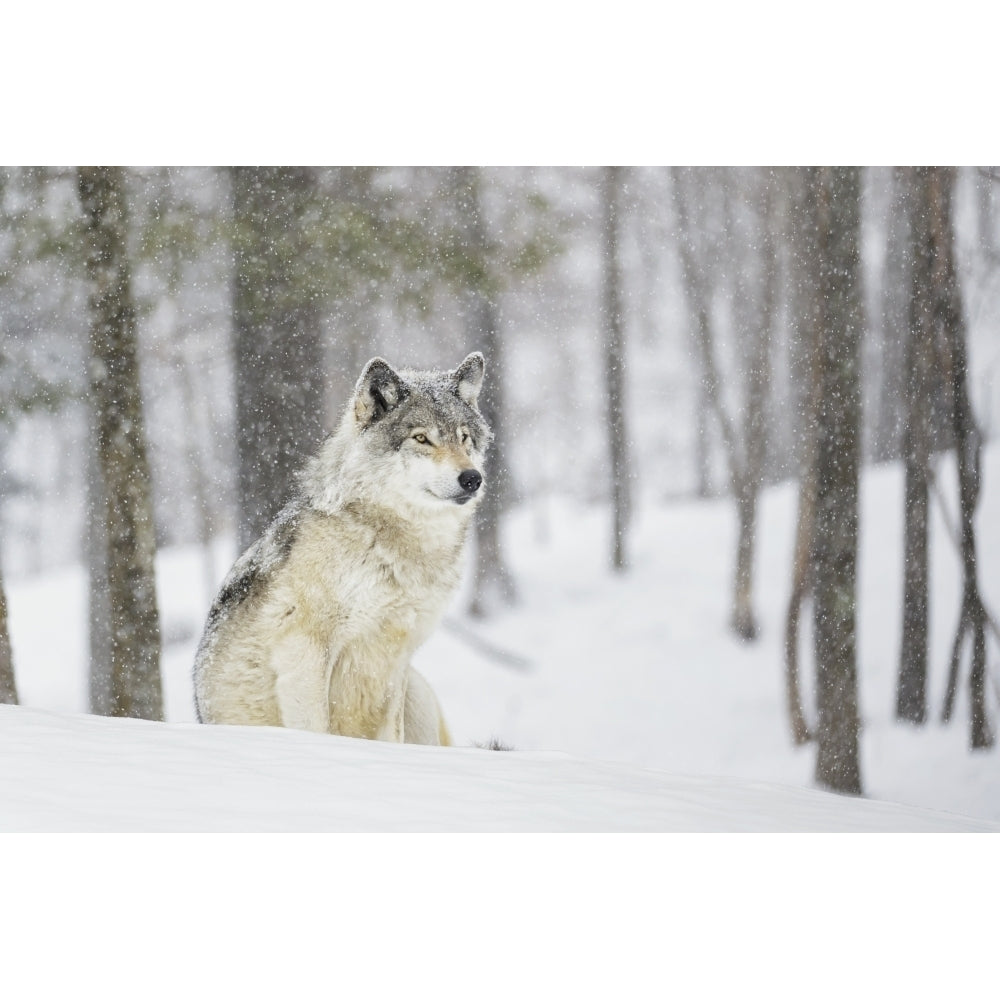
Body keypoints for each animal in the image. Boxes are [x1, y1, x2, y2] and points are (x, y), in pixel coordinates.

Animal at [192, 352, 492, 744]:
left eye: (464, 437)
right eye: (421, 438)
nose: (472, 478)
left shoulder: (397, 659)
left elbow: (392, 736)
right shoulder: (303, 649)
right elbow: (317, 728)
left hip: (417, 689)